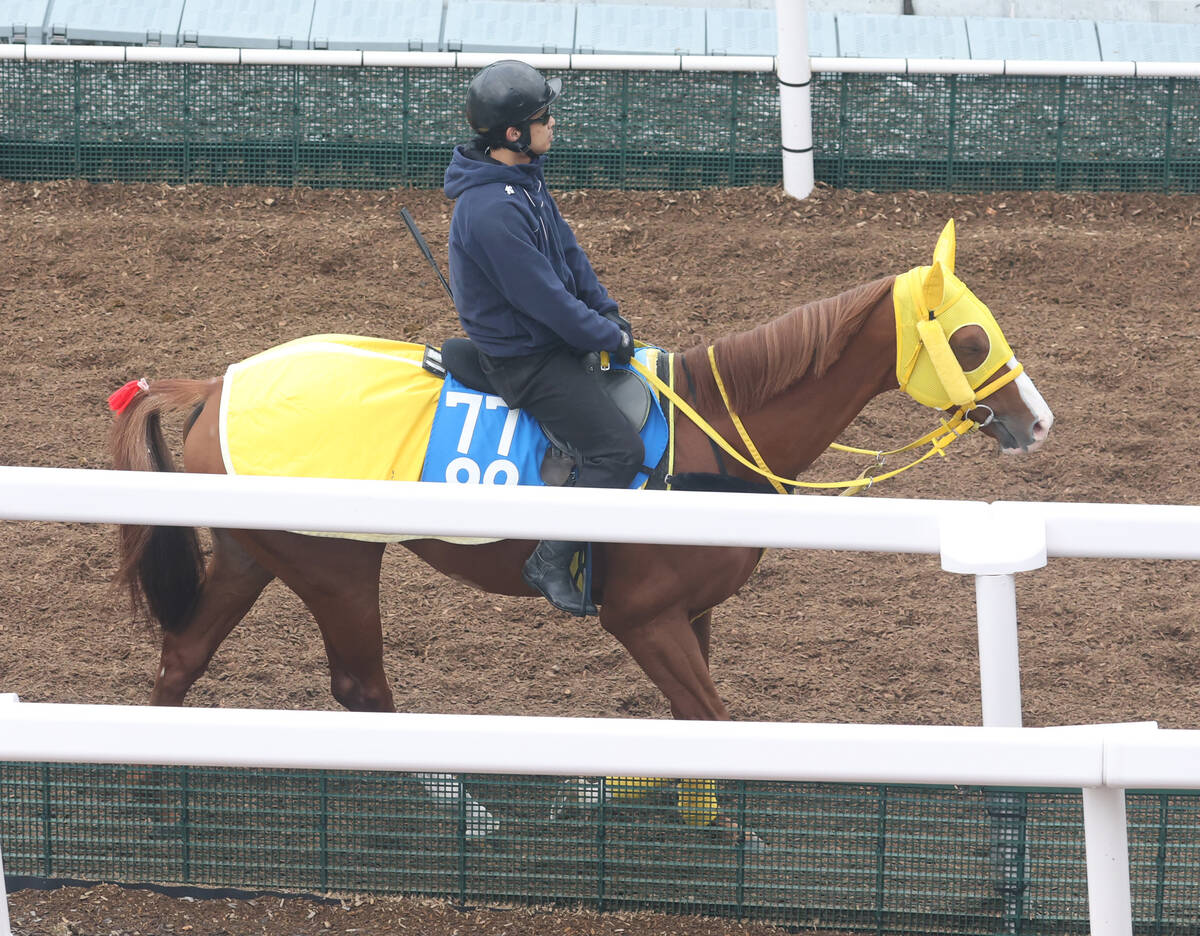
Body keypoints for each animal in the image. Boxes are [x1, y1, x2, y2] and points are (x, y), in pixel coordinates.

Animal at [108, 221, 1052, 841]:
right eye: (972, 338)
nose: (1036, 421)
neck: (711, 431)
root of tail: (217, 383)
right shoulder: (640, 614)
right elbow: (710, 714)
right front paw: (710, 823)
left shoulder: (694, 610)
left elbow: (692, 718)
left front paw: (666, 806)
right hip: (336, 565)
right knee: (360, 687)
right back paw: (465, 807)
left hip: (251, 554)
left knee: (184, 654)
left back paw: (148, 786)